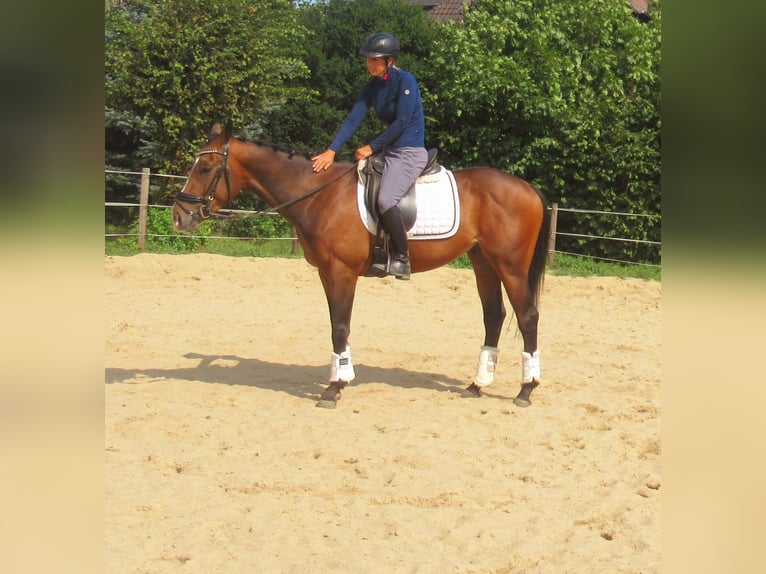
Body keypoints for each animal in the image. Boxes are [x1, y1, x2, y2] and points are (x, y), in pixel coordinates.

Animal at [174, 121, 552, 410]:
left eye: (205, 168)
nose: (180, 216)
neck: (319, 194)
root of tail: (529, 189)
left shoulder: (341, 271)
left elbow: (340, 326)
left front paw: (333, 388)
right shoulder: (327, 273)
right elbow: (336, 325)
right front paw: (341, 377)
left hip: (510, 265)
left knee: (527, 316)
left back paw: (526, 388)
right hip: (483, 261)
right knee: (494, 315)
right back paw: (477, 384)